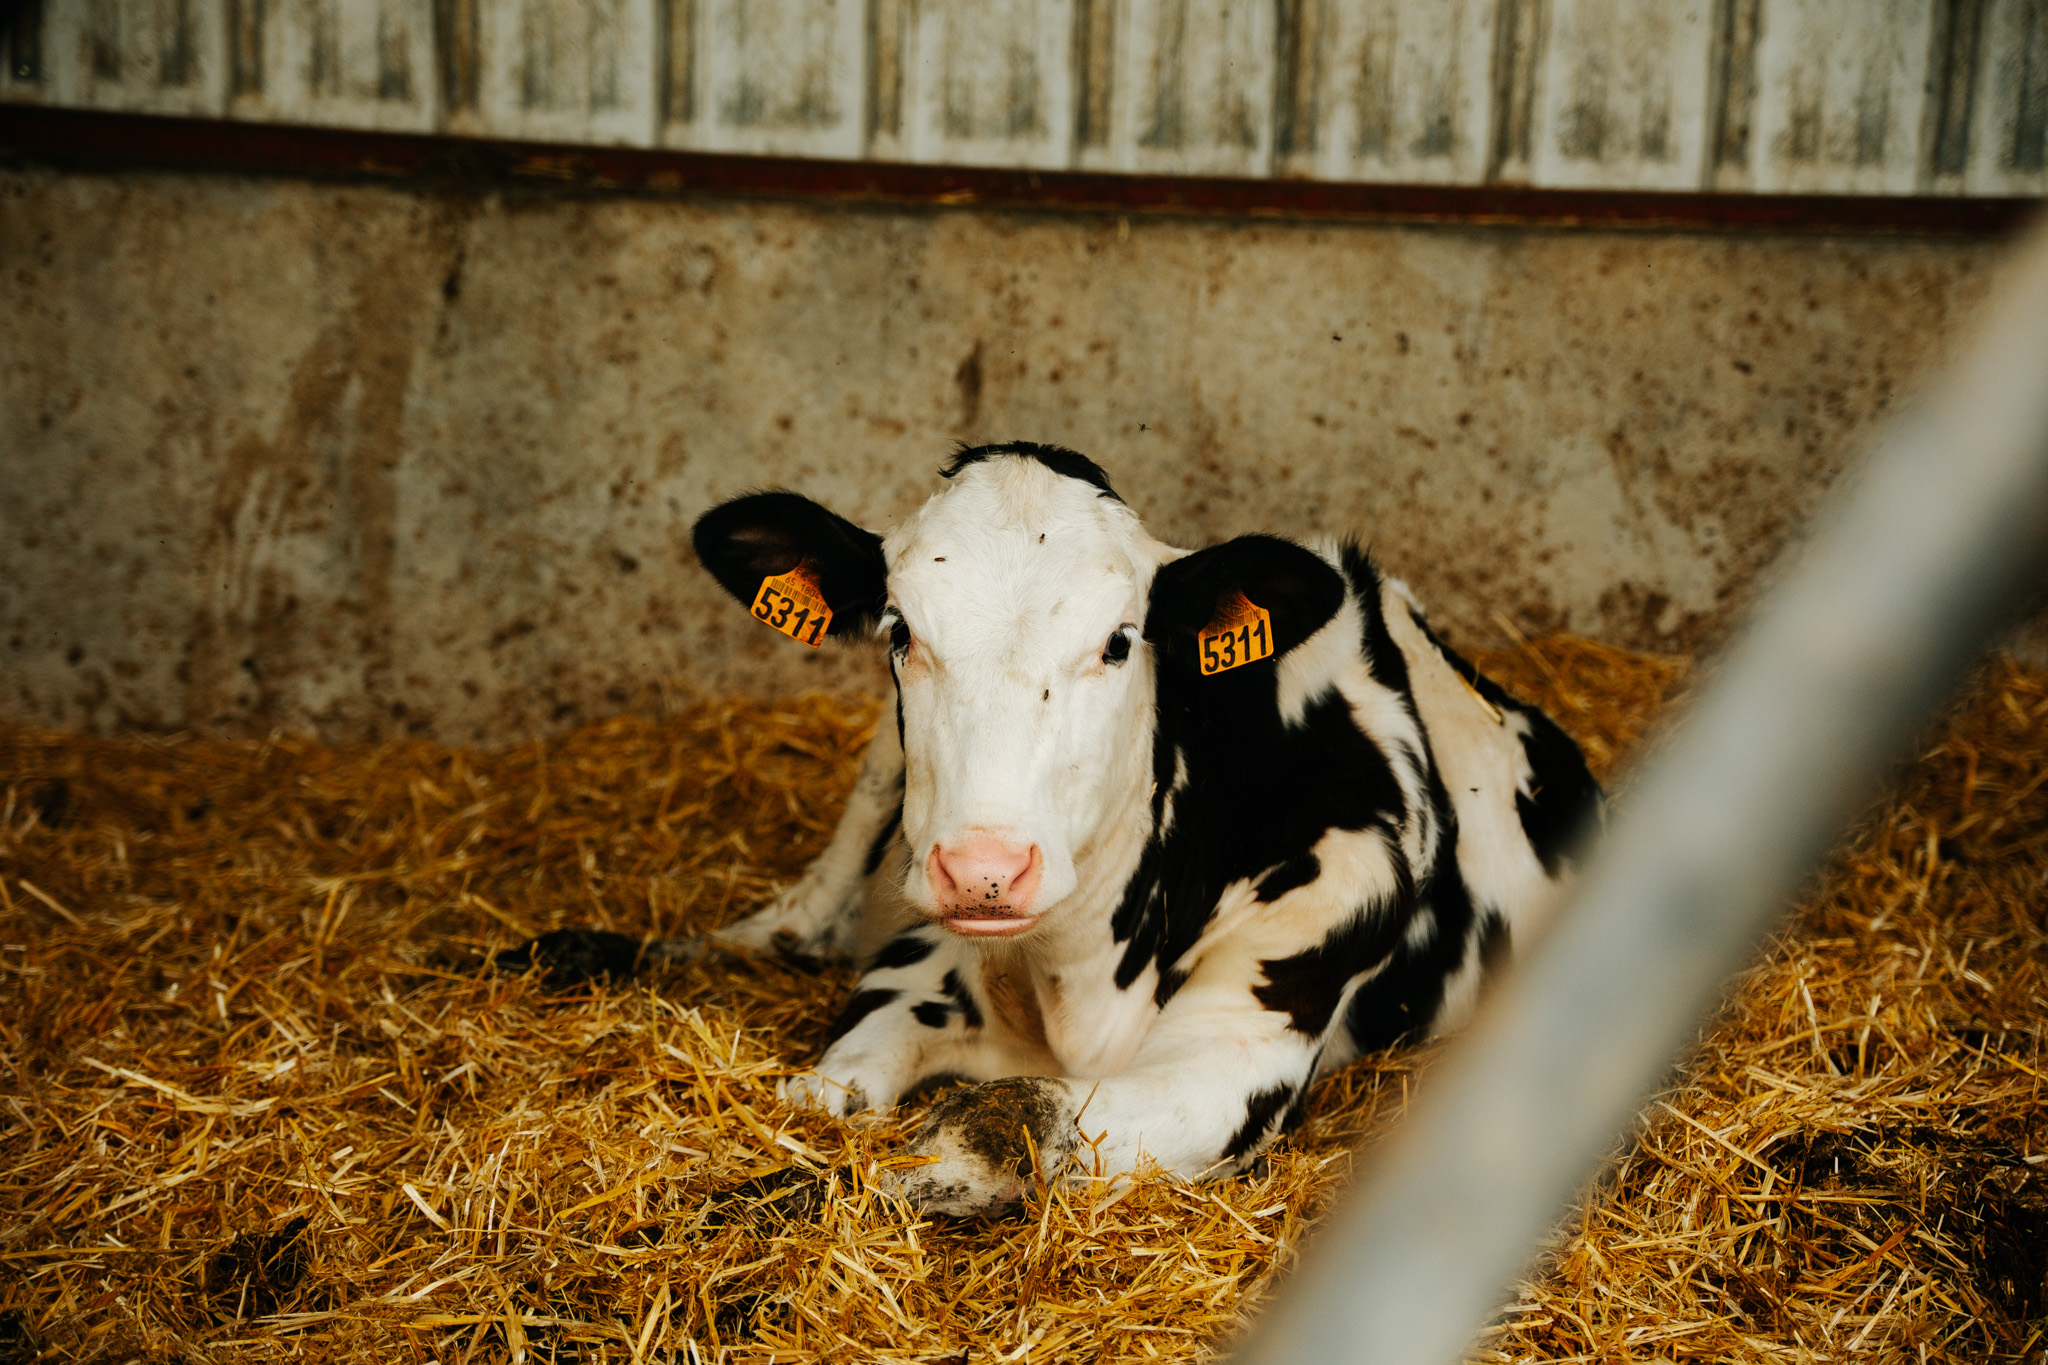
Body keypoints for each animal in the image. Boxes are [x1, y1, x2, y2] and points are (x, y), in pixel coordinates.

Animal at [691, 443, 1600, 1216]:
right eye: (900, 630)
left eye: (1119, 642)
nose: (985, 869)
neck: (1075, 985)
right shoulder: (914, 972)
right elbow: (822, 1094)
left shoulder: (1247, 1044)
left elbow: (1008, 1115)